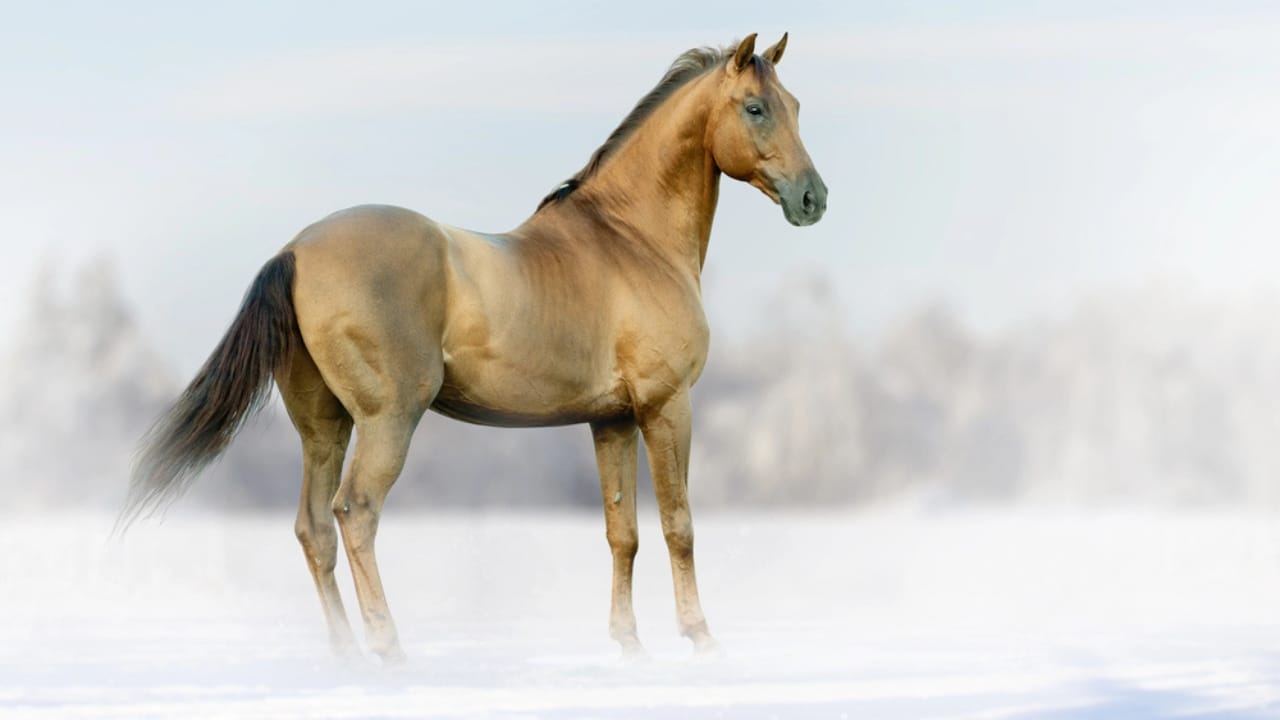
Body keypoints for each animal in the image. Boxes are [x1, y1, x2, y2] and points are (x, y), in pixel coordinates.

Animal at [123, 32, 827, 663]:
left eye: (794, 104)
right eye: (754, 107)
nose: (812, 198)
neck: (630, 240)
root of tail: (296, 249)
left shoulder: (612, 421)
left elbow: (621, 532)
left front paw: (629, 644)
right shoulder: (666, 406)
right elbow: (678, 526)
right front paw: (701, 638)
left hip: (324, 426)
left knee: (314, 527)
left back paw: (347, 654)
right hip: (387, 421)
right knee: (356, 514)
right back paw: (388, 648)